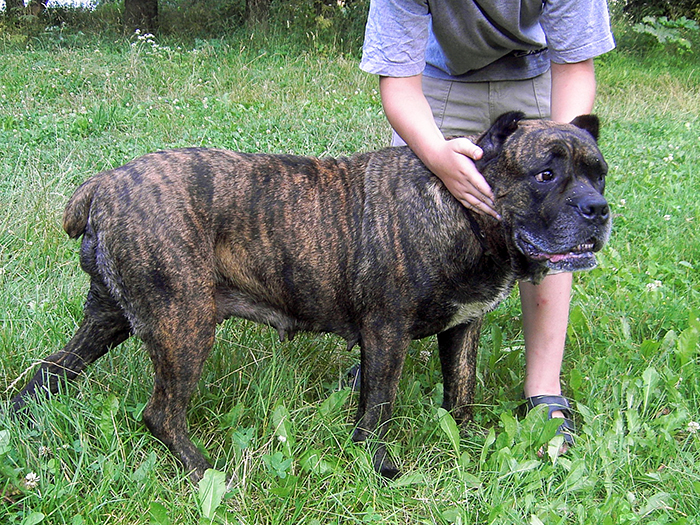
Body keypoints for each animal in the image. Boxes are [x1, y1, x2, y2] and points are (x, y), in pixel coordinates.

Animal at [10, 111, 610, 480]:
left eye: (600, 175)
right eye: (546, 174)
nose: (598, 210)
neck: (460, 208)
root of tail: (106, 183)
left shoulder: (463, 326)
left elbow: (458, 393)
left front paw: (465, 445)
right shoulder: (386, 332)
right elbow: (379, 406)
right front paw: (379, 465)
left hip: (110, 316)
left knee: (50, 370)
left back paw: (19, 421)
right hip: (184, 324)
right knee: (161, 413)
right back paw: (205, 472)